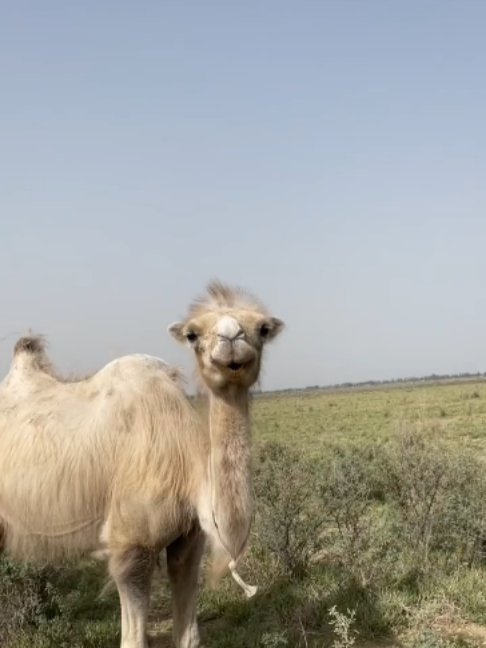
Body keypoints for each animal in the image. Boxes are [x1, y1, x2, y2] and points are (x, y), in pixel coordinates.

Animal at [0, 280, 284, 648]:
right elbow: (133, 639)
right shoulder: (130, 545)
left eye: (262, 328)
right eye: (192, 334)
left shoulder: (189, 539)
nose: (232, 339)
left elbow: (189, 635)